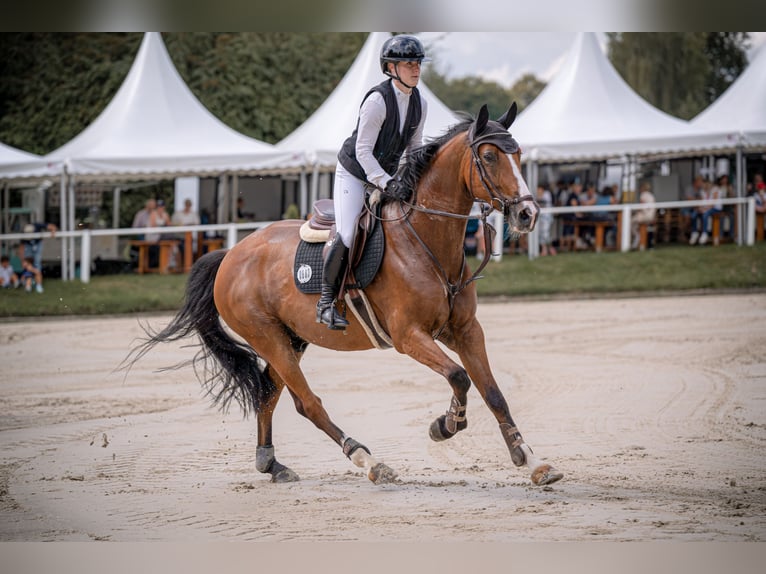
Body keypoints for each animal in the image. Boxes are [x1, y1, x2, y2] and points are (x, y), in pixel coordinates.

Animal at [126, 102, 564, 486]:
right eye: (489, 157)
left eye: (519, 154)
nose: (528, 215)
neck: (425, 239)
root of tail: (231, 254)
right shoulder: (409, 336)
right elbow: (459, 377)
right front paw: (445, 425)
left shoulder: (465, 331)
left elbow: (493, 393)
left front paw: (532, 462)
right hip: (268, 338)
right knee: (308, 403)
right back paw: (368, 461)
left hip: (290, 340)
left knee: (268, 394)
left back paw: (272, 465)